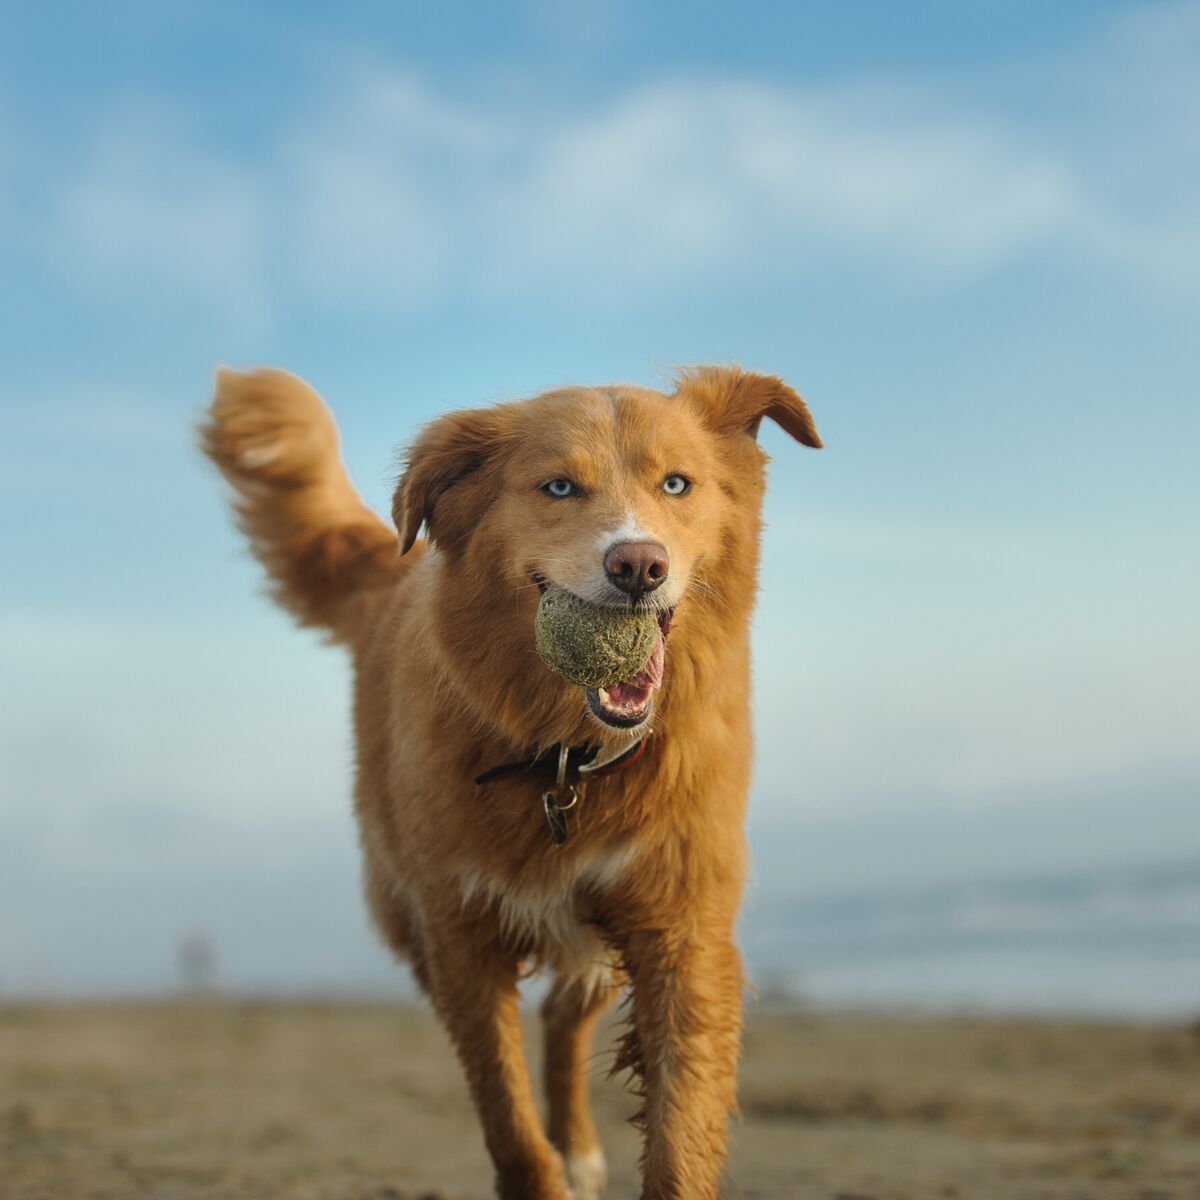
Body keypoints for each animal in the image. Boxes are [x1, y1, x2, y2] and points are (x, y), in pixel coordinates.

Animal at [201, 364, 820, 1200]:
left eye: (676, 484)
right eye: (558, 487)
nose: (639, 565)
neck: (566, 756)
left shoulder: (680, 925)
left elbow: (679, 1119)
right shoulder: (460, 933)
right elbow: (506, 1110)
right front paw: (538, 1167)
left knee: (566, 1012)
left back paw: (582, 1149)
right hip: (405, 912)